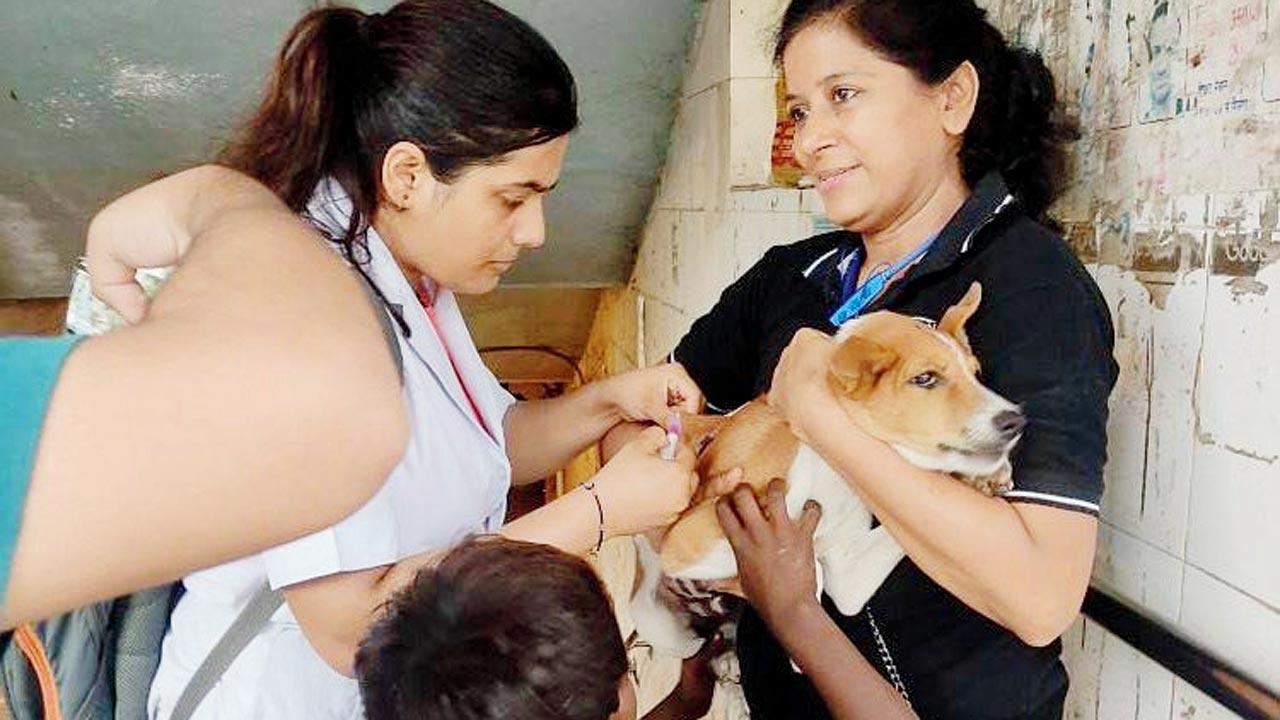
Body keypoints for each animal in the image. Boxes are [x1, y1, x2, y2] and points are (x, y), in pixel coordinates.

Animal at [632, 280, 1029, 655]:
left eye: (977, 373)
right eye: (925, 378)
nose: (1016, 420)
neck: (830, 469)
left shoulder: (849, 580)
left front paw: (984, 476)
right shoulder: (687, 541)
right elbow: (808, 569)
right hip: (660, 621)